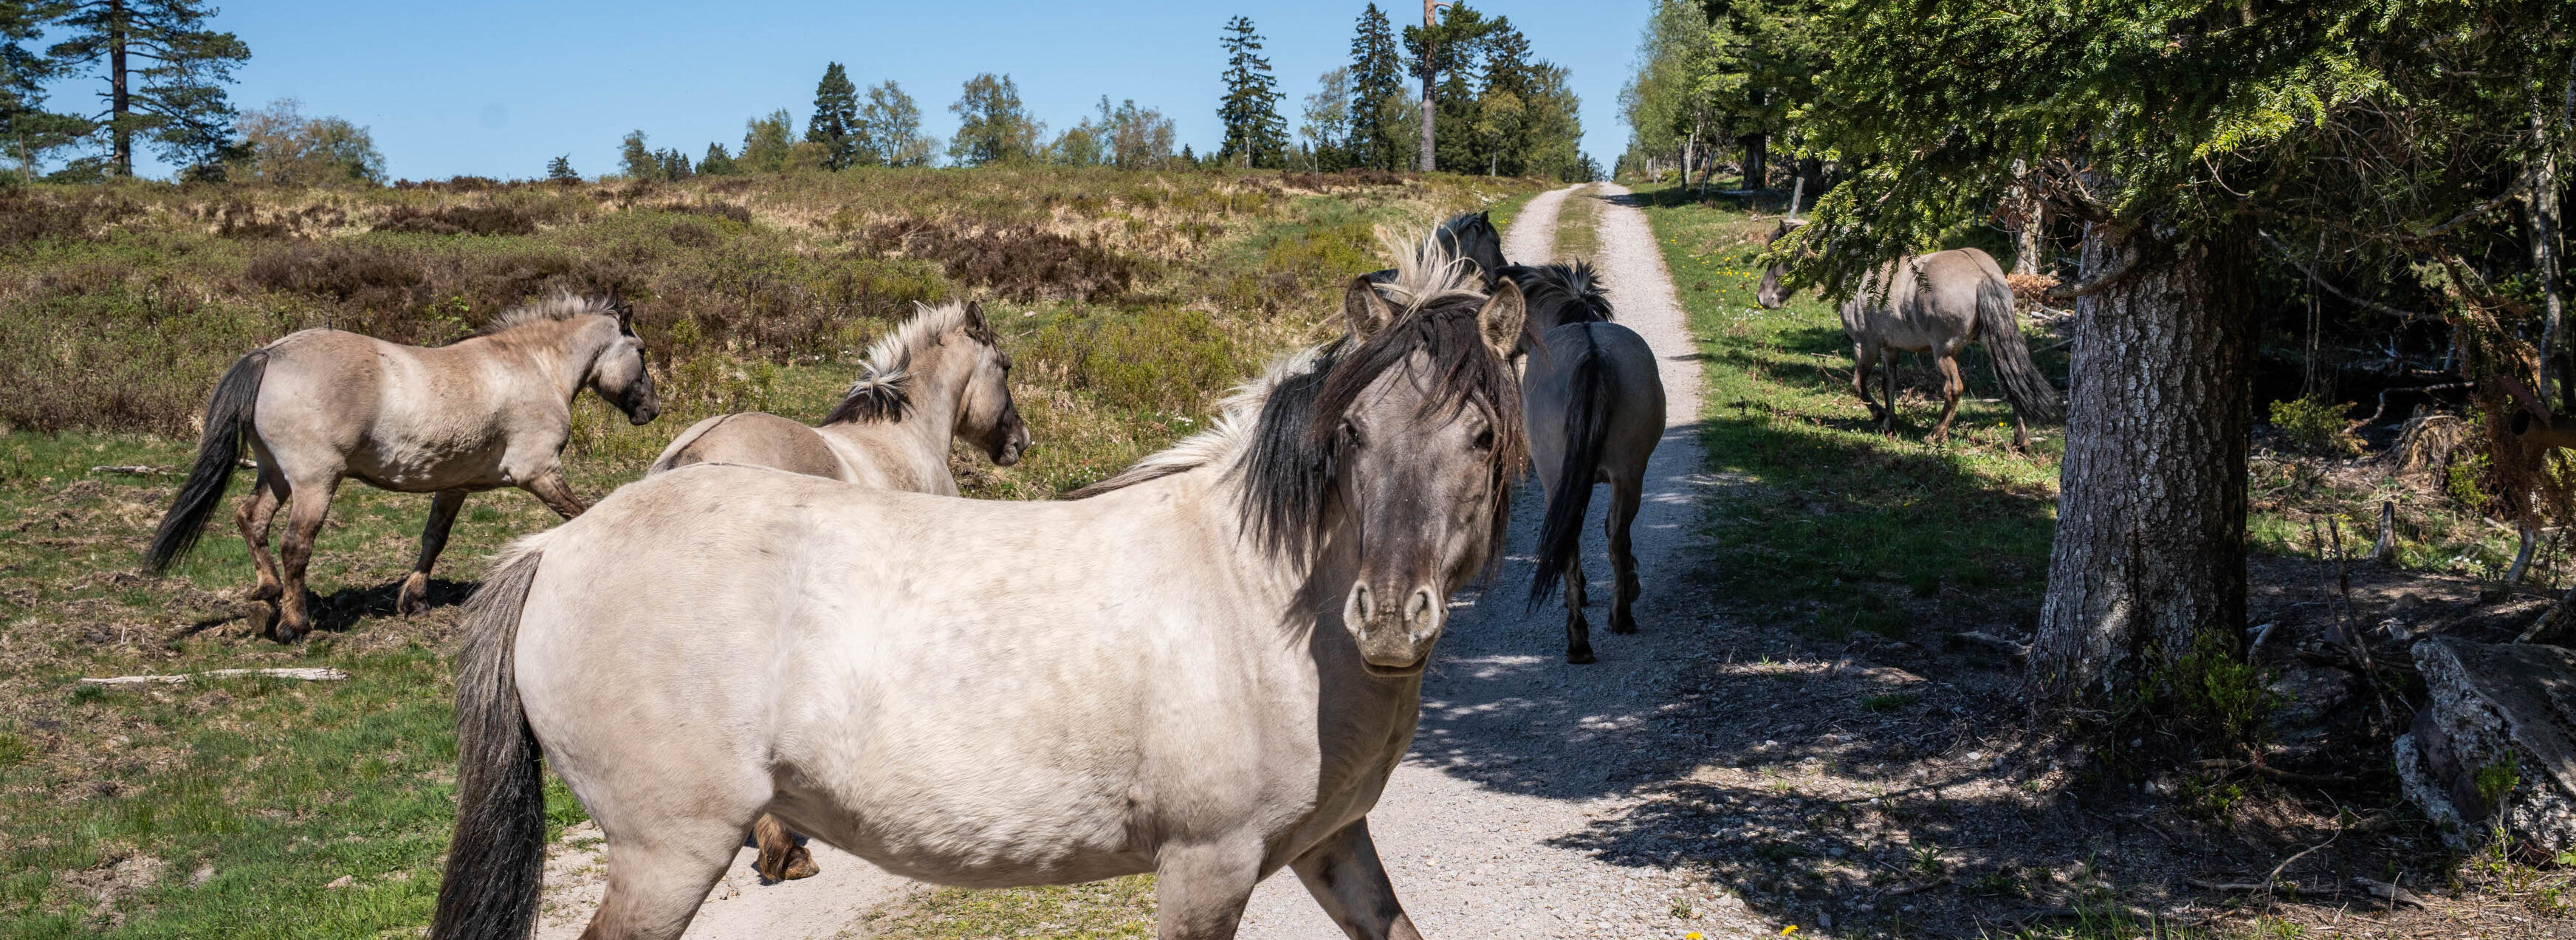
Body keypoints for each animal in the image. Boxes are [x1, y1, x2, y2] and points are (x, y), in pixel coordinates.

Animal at [146, 294, 659, 642]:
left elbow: (434, 539)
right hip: (315, 482)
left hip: (275, 474)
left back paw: (266, 595)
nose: (651, 410)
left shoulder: (455, 486)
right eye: (642, 351)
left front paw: (413, 602)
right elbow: (579, 516)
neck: (533, 367)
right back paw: (295, 624)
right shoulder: (540, 472)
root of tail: (270, 353)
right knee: (296, 544)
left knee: (251, 519)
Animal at [1502, 261, 1666, 664]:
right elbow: (1609, 531)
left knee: (1574, 543)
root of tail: (1592, 355)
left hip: (1563, 479)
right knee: (1615, 536)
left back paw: (1583, 637)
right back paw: (1615, 621)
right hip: (1628, 475)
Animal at [1756, 221, 2061, 447]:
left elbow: (1859, 386)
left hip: (1944, 352)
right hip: (1992, 343)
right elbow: (1888, 385)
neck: (1858, 271)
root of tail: (1982, 275)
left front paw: (1880, 416)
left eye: (1779, 257)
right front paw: (1890, 422)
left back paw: (1936, 434)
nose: (1762, 299)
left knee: (1954, 389)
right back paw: (2021, 439)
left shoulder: (1865, 345)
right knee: (2012, 382)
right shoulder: (1889, 348)